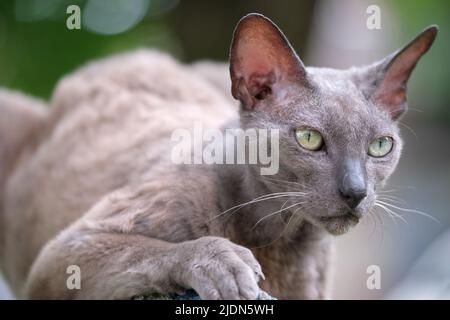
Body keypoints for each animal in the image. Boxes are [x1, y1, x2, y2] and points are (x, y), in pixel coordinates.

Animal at [0, 13, 436, 300]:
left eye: (380, 146)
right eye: (310, 139)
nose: (355, 191)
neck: (281, 237)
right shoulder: (62, 256)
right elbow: (161, 249)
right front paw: (228, 266)